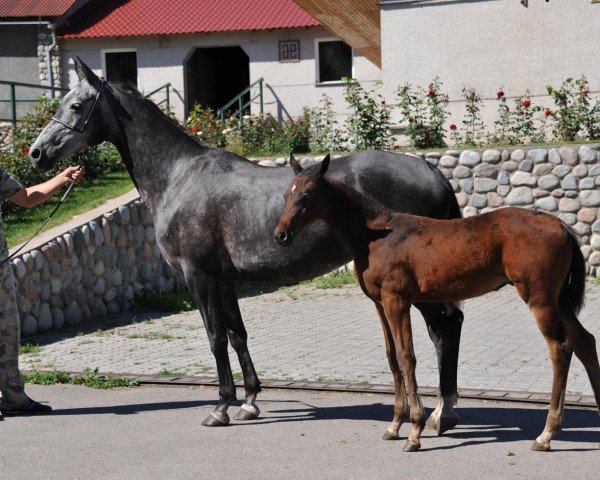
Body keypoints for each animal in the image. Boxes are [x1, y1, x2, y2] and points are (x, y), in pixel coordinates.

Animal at [274, 156, 600, 452]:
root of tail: (561, 225)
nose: (281, 235)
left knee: (560, 348)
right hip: (559, 300)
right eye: (286, 194)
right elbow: (392, 358)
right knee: (584, 341)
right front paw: (394, 425)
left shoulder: (397, 300)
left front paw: (414, 431)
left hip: (540, 298)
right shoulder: (379, 304)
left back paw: (546, 434)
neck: (375, 235)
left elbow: (407, 357)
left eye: (306, 194)